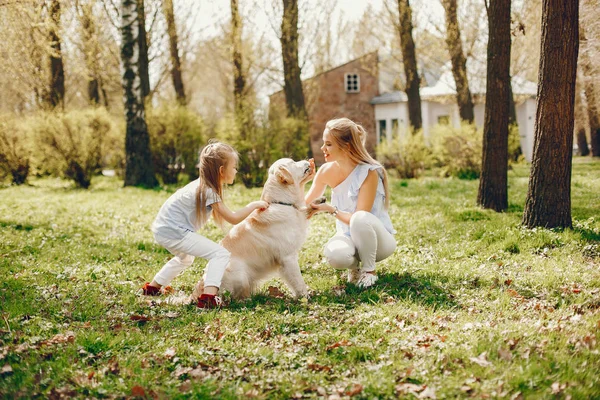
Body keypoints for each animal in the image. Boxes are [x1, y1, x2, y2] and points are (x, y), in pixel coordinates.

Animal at [192, 159, 322, 300]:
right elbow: (298, 281)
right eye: (292, 162)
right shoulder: (288, 257)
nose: (308, 160)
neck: (282, 203)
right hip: (239, 274)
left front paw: (319, 201)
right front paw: (305, 297)